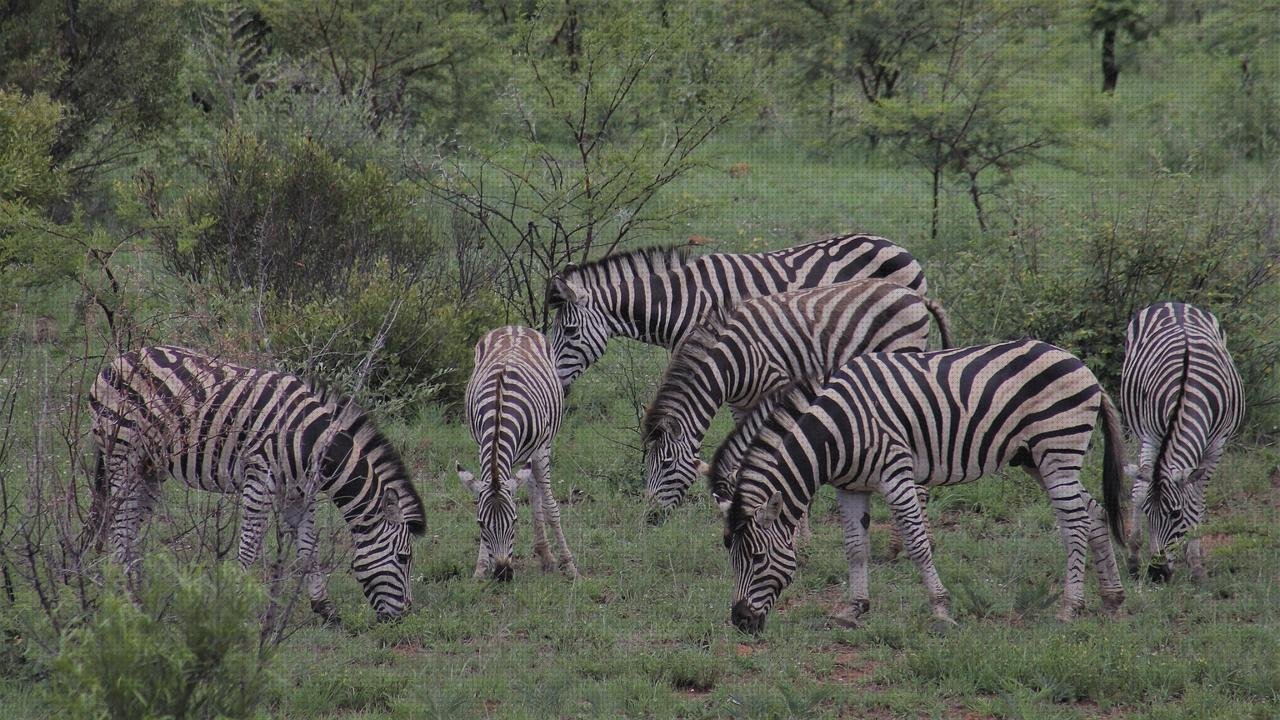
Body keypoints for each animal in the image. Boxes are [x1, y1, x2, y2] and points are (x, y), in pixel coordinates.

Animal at [91, 345, 430, 620]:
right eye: (404, 558)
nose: (402, 618)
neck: (312, 441)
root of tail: (118, 359)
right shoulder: (259, 479)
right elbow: (249, 547)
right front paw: (235, 600)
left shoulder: (297, 494)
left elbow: (309, 547)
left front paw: (324, 608)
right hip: (122, 452)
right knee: (120, 522)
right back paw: (129, 594)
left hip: (150, 467)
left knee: (132, 524)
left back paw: (137, 588)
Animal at [458, 327, 578, 579]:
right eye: (481, 524)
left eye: (514, 522)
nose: (502, 573)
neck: (499, 411)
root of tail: (513, 327)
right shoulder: (482, 447)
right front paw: (480, 568)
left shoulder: (541, 450)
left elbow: (551, 508)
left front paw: (570, 566)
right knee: (531, 485)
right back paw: (543, 552)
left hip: (543, 446)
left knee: (536, 490)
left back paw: (548, 556)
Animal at [640, 278, 952, 545]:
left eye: (666, 464)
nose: (650, 517)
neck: (731, 363)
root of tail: (913, 294)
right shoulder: (741, 405)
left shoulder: (778, 386)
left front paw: (800, 539)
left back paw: (910, 541)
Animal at [716, 338, 1126, 630]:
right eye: (730, 557)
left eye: (757, 558)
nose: (740, 622)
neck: (836, 429)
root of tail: (1082, 366)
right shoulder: (851, 486)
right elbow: (855, 548)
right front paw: (854, 609)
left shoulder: (895, 473)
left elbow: (917, 542)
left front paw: (941, 609)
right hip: (1037, 460)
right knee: (1094, 513)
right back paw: (1112, 598)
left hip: (1057, 449)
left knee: (1075, 522)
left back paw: (1070, 608)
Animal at [1121, 299, 1239, 579]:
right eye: (1147, 513)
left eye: (1176, 514)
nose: (1157, 573)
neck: (1189, 393)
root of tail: (1174, 303)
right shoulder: (1152, 435)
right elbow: (1138, 491)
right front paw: (1134, 556)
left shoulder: (1216, 446)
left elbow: (1196, 501)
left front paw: (1195, 564)